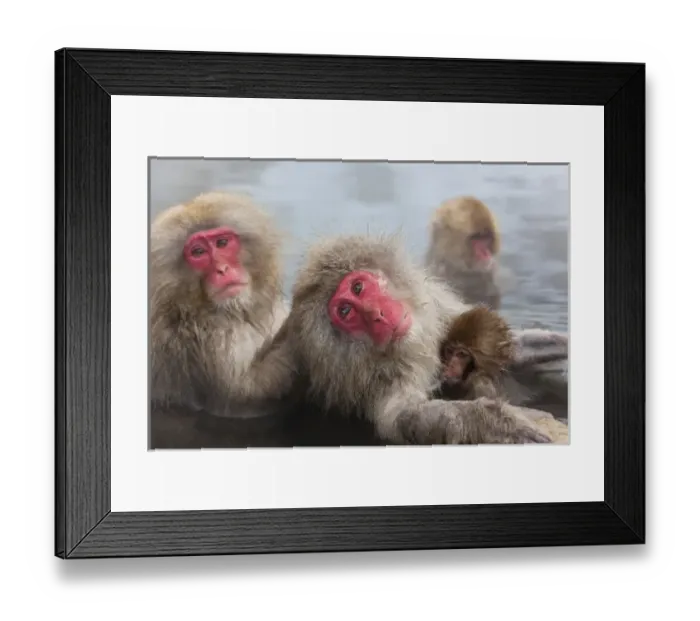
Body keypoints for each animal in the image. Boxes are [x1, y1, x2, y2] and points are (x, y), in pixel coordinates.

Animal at [241, 233, 569, 446]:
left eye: (358, 287)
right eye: (346, 311)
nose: (376, 315)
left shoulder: (437, 308)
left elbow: (511, 351)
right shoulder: (378, 382)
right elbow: (408, 418)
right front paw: (497, 422)